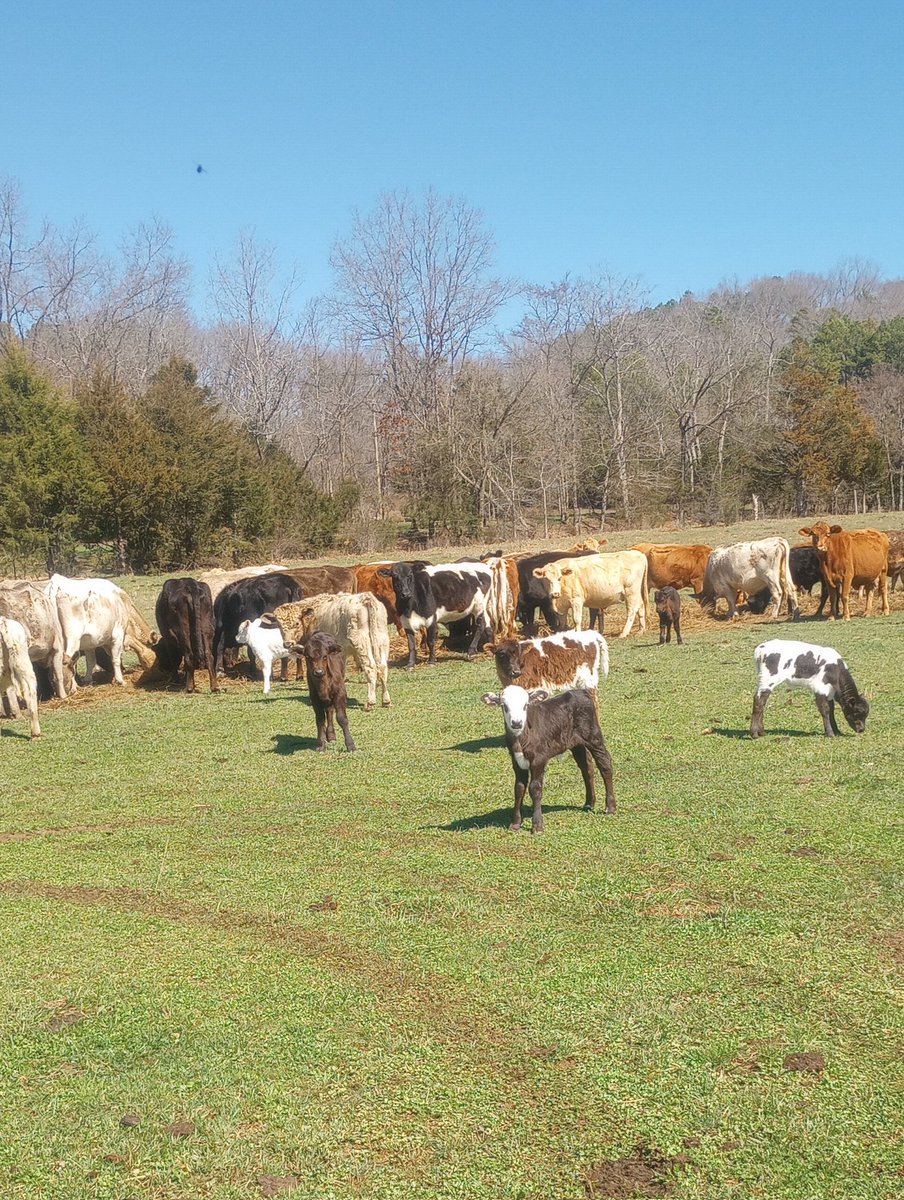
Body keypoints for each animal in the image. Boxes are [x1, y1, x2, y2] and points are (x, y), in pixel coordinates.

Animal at [481, 686, 615, 833]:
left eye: (525, 705)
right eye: (504, 705)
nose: (516, 723)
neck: (521, 739)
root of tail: (580, 691)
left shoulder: (539, 759)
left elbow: (535, 788)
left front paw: (537, 826)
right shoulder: (516, 760)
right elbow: (519, 789)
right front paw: (515, 823)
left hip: (593, 735)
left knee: (605, 764)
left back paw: (610, 807)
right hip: (576, 743)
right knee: (586, 767)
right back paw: (589, 803)